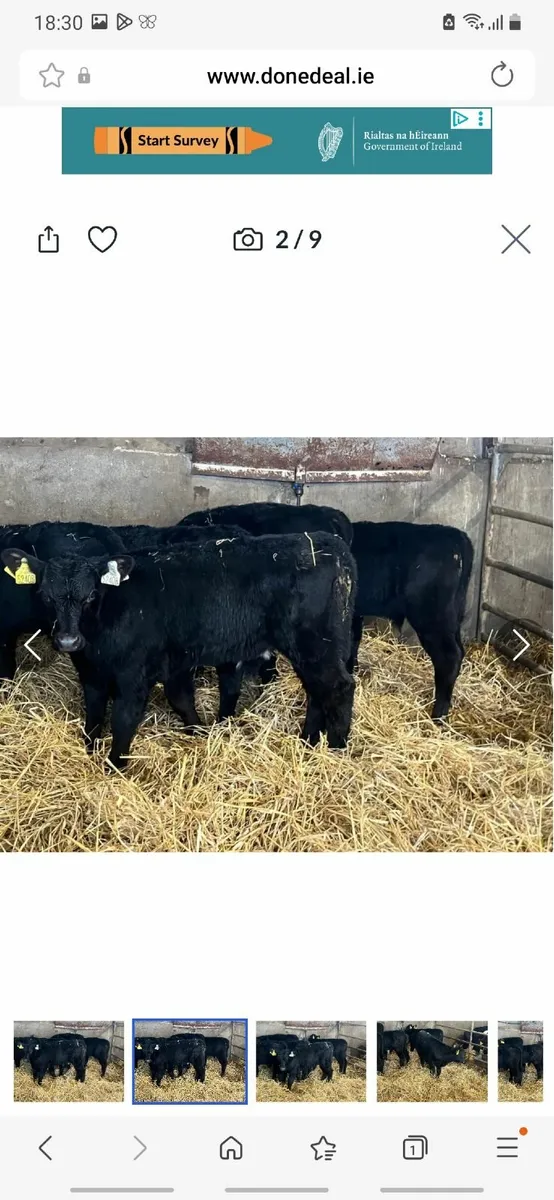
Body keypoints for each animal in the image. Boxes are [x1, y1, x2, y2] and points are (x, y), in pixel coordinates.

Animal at [349, 521, 474, 719]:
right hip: (453, 616)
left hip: (430, 617)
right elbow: (353, 641)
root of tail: (456, 536)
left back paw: (438, 715)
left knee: (449, 657)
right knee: (458, 652)